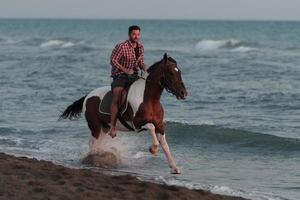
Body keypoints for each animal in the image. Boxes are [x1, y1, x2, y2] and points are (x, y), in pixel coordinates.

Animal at [59, 53, 188, 173]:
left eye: (179, 72)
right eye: (171, 73)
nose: (184, 93)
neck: (149, 99)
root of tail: (88, 96)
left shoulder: (160, 126)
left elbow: (165, 145)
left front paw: (174, 167)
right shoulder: (137, 124)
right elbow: (151, 127)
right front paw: (153, 149)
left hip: (104, 128)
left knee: (97, 144)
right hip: (95, 127)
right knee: (92, 143)